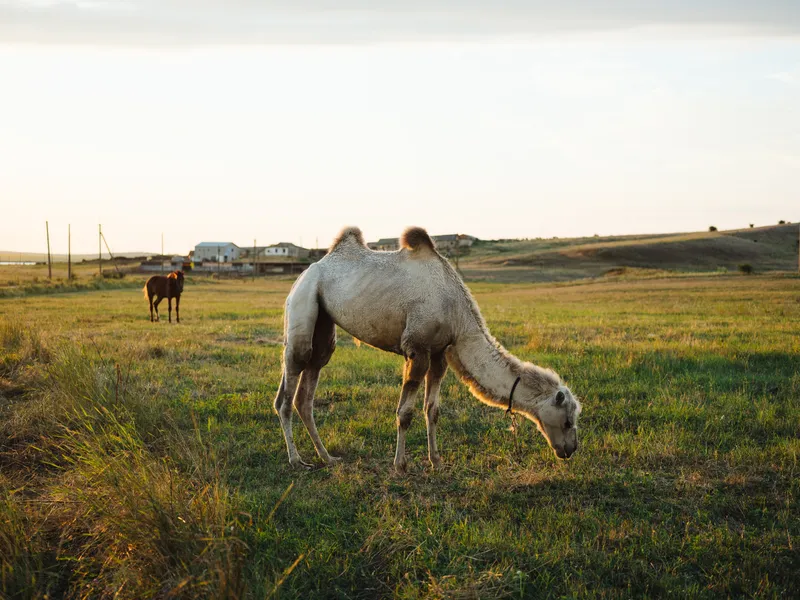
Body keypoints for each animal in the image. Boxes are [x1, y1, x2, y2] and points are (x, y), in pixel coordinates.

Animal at [274, 226, 581, 470]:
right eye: (568, 421)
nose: (571, 449)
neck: (457, 315)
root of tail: (309, 269)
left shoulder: (439, 353)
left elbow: (432, 410)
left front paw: (436, 461)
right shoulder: (416, 349)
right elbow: (405, 413)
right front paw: (400, 465)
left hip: (324, 324)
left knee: (308, 385)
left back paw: (327, 457)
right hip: (304, 301)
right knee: (289, 387)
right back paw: (296, 460)